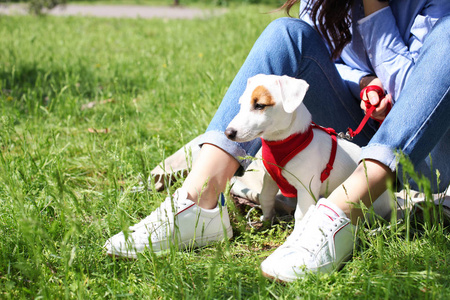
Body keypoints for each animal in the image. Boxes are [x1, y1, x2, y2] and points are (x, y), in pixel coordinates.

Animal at [225, 74, 390, 221]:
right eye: (241, 104)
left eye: (260, 105)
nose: (228, 133)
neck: (285, 143)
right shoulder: (270, 178)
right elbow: (265, 197)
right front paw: (266, 219)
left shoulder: (306, 187)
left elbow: (300, 214)